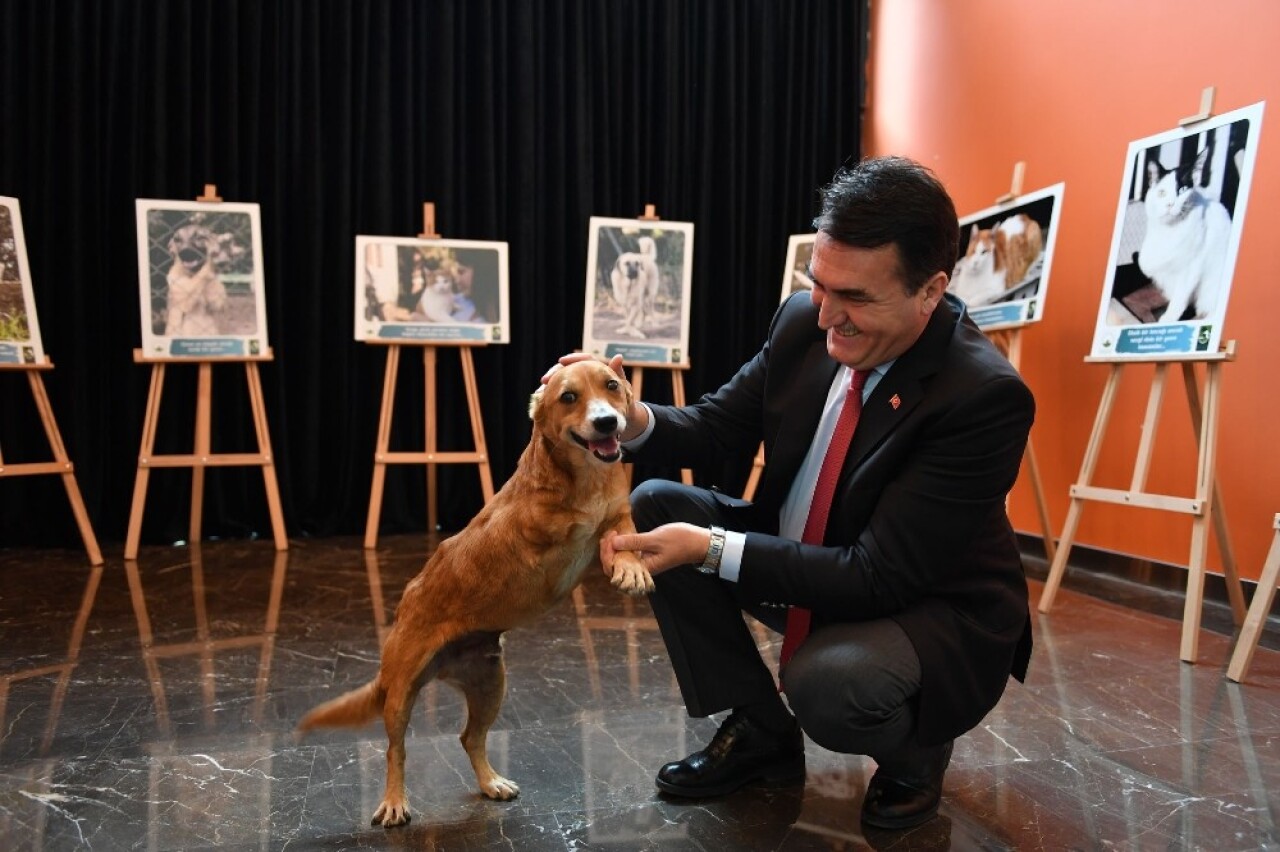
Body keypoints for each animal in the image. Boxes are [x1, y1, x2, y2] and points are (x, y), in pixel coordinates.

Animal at [296, 355, 650, 823]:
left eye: (611, 385)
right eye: (569, 397)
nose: (607, 422)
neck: (584, 479)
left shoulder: (615, 514)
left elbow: (621, 526)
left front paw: (631, 565)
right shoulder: (550, 541)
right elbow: (588, 532)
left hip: (489, 684)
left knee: (469, 738)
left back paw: (490, 782)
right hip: (400, 695)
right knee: (395, 750)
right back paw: (394, 801)